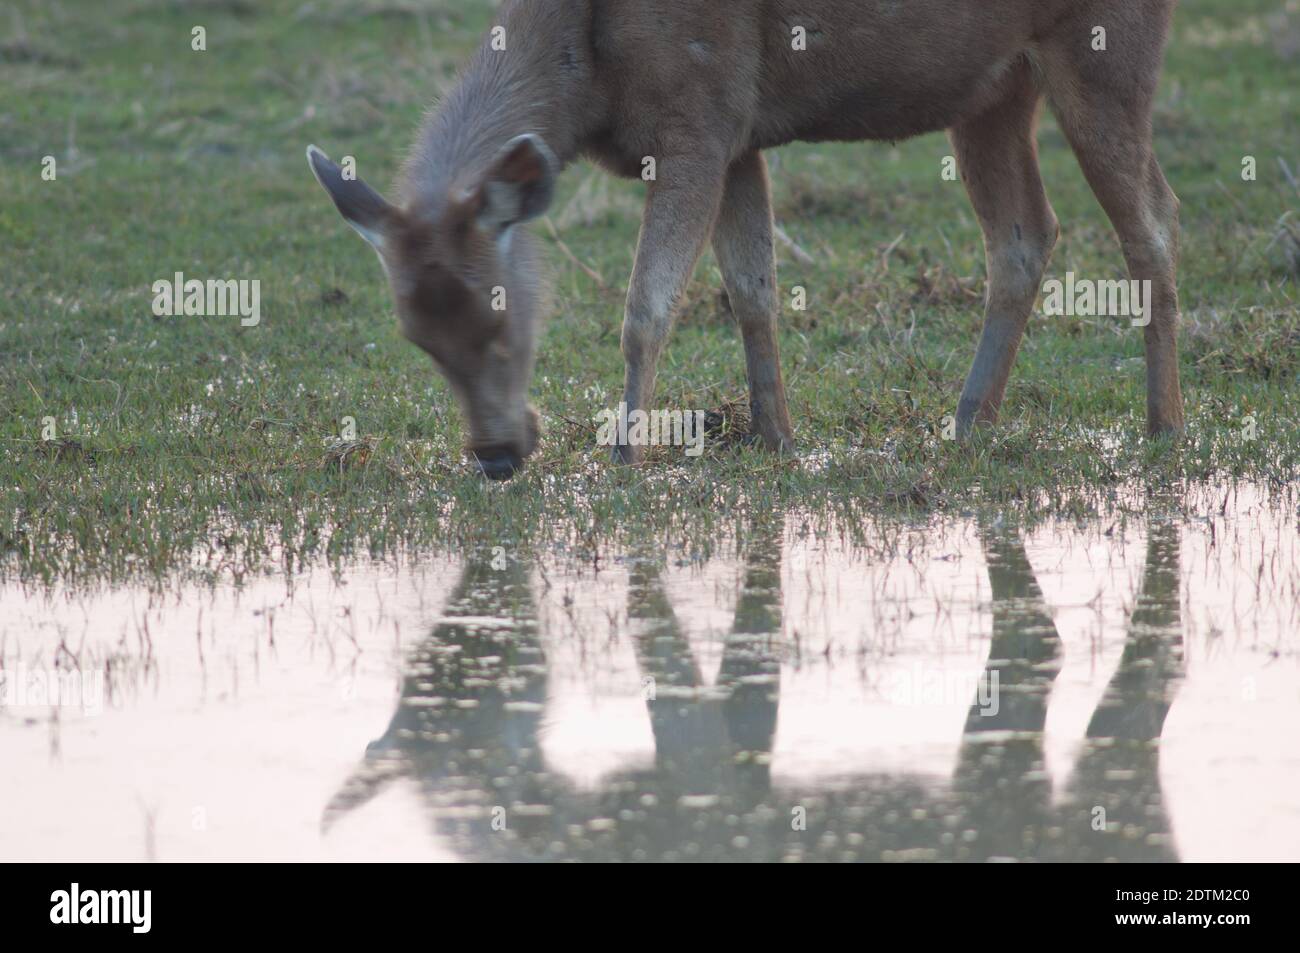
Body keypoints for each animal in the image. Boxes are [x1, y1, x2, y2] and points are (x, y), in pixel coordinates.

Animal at [306, 0, 1190, 475]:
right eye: (416, 338)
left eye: (504, 320)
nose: (495, 455)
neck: (584, 69)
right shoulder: (738, 138)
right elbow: (751, 288)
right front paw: (777, 436)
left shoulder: (701, 113)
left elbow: (647, 306)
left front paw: (622, 456)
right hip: (993, 89)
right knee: (1025, 235)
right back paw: (970, 420)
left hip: (1106, 44)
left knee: (1153, 218)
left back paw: (1163, 424)